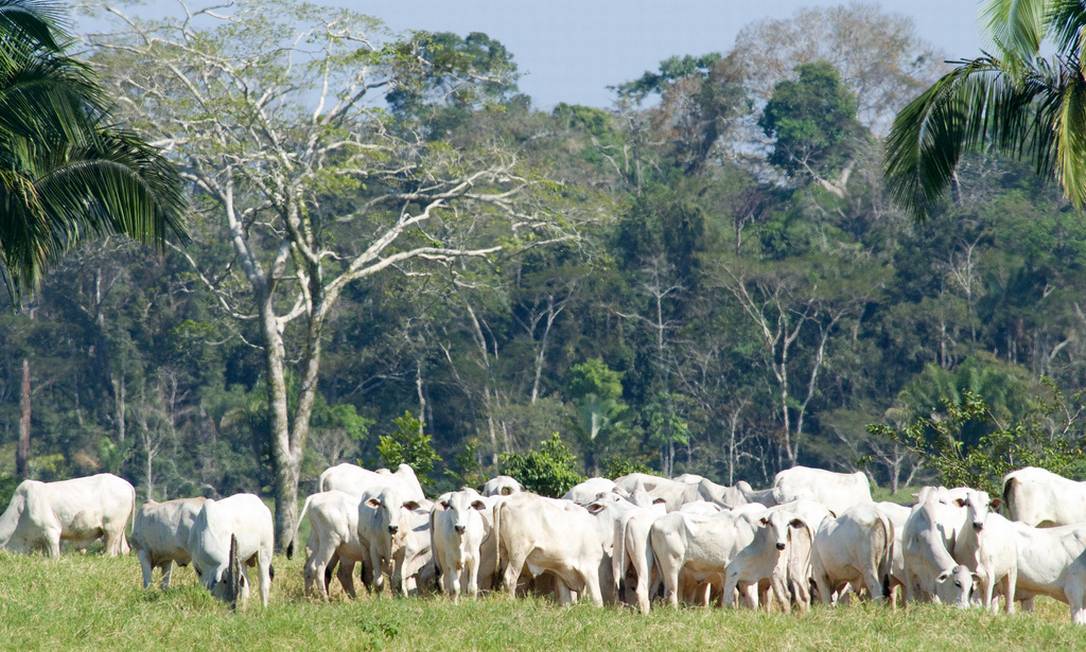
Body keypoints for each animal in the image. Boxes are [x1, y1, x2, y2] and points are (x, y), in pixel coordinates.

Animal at [0, 471, 135, 556]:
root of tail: (127, 484)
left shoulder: (51, 531)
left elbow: (55, 557)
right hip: (120, 530)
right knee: (124, 550)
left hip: (111, 529)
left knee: (110, 553)